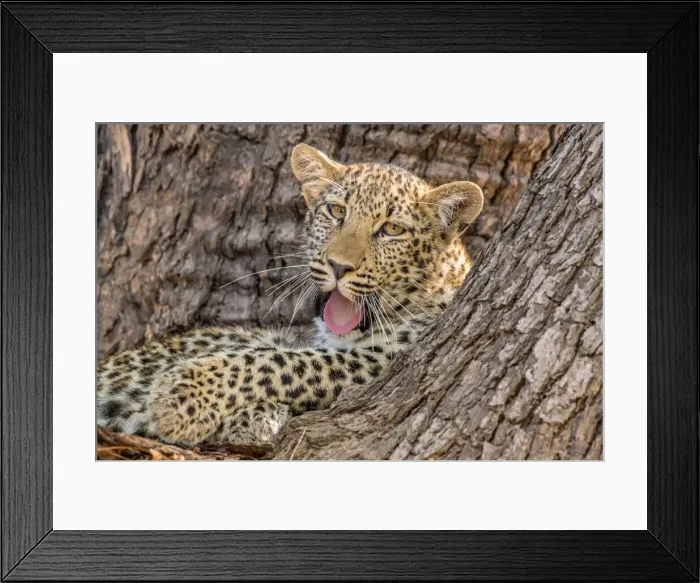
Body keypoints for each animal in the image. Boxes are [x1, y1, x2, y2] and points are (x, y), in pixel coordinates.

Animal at [97, 143, 484, 447]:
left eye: (392, 230)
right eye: (336, 211)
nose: (338, 266)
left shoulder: (384, 359)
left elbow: (280, 363)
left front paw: (182, 399)